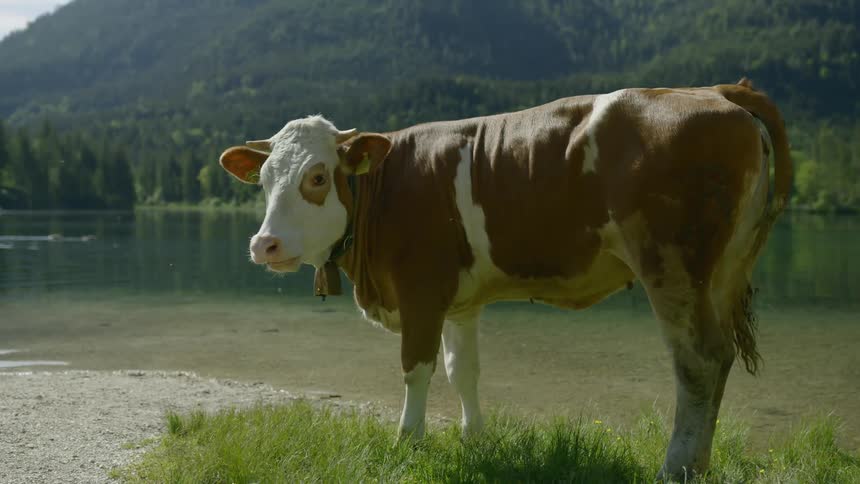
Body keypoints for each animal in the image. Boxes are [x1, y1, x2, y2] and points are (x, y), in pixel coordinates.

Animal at [219, 79, 791, 480]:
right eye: (264, 179)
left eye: (317, 176)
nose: (263, 244)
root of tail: (718, 91)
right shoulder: (460, 300)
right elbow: (462, 371)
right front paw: (474, 440)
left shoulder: (421, 291)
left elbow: (416, 370)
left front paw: (408, 442)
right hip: (721, 272)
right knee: (718, 359)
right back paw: (699, 465)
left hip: (672, 264)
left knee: (698, 362)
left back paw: (676, 468)